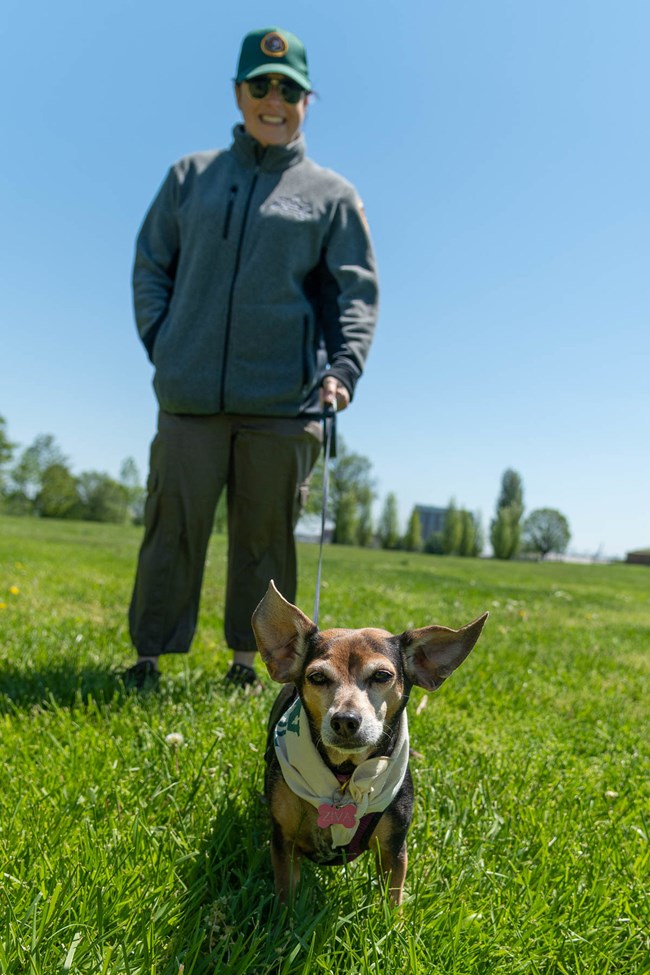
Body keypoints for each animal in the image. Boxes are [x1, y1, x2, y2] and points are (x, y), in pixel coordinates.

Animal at [251, 580, 484, 908]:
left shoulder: (393, 848)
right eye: (317, 677)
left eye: (382, 675)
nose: (345, 720)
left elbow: (392, 898)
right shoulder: (285, 841)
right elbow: (287, 893)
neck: (346, 775)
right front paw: (284, 917)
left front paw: (392, 921)